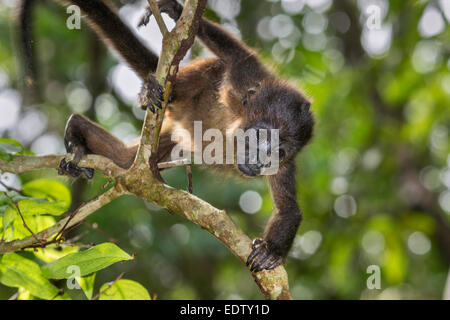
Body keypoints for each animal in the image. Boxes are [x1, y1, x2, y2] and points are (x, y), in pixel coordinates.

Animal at [19, 0, 314, 272]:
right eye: (261, 137)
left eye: (278, 153)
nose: (261, 162)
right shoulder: (245, 82)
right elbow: (236, 55)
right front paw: (177, 10)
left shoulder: (285, 165)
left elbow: (289, 210)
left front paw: (271, 252)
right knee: (202, 74)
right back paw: (137, 101)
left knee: (126, 162)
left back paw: (79, 131)